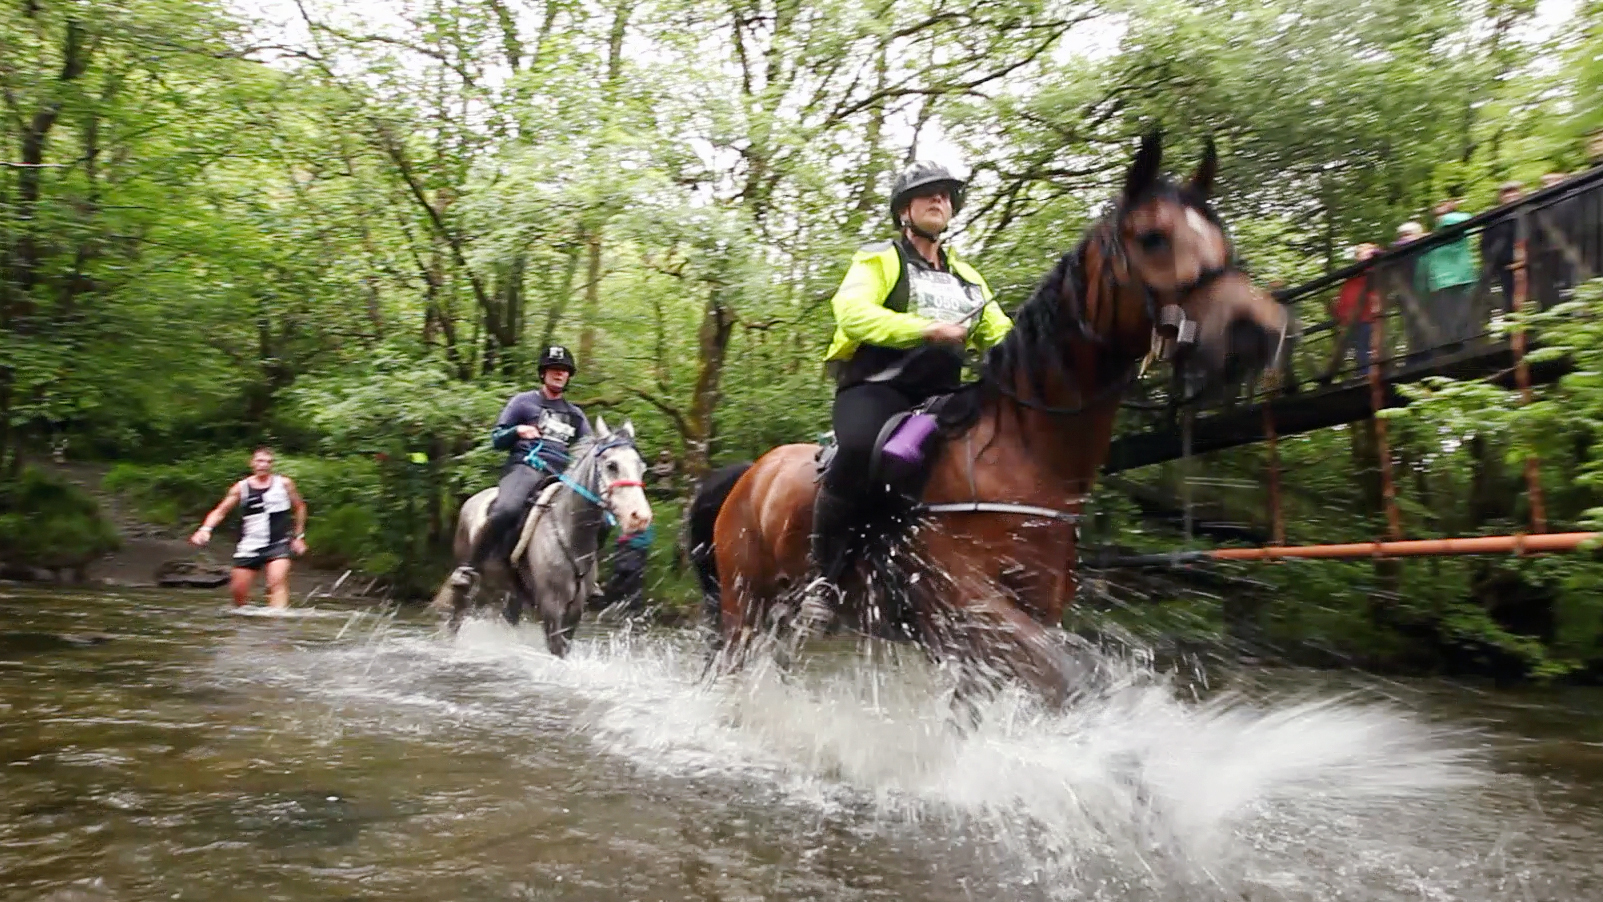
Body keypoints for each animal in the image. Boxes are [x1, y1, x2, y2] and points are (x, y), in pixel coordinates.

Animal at [431, 416, 654, 656]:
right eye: (612, 465)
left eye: (641, 466)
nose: (640, 517)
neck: (570, 533)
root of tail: (472, 500)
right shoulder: (551, 605)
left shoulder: (575, 609)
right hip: (471, 584)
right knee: (457, 616)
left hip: (513, 592)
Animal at [691, 132, 1291, 706]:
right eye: (1154, 238)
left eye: (1222, 238)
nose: (1261, 330)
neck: (1023, 458)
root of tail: (749, 474)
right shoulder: (972, 609)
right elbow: (1078, 680)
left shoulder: (1008, 624)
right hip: (744, 606)